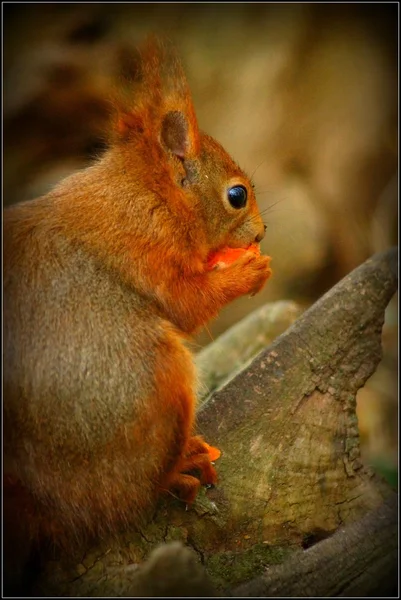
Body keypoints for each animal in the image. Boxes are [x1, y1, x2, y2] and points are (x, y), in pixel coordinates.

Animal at [3, 34, 270, 592]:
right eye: (237, 195)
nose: (261, 233)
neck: (145, 194)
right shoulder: (145, 248)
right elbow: (185, 304)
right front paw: (249, 272)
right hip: (151, 388)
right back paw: (181, 470)